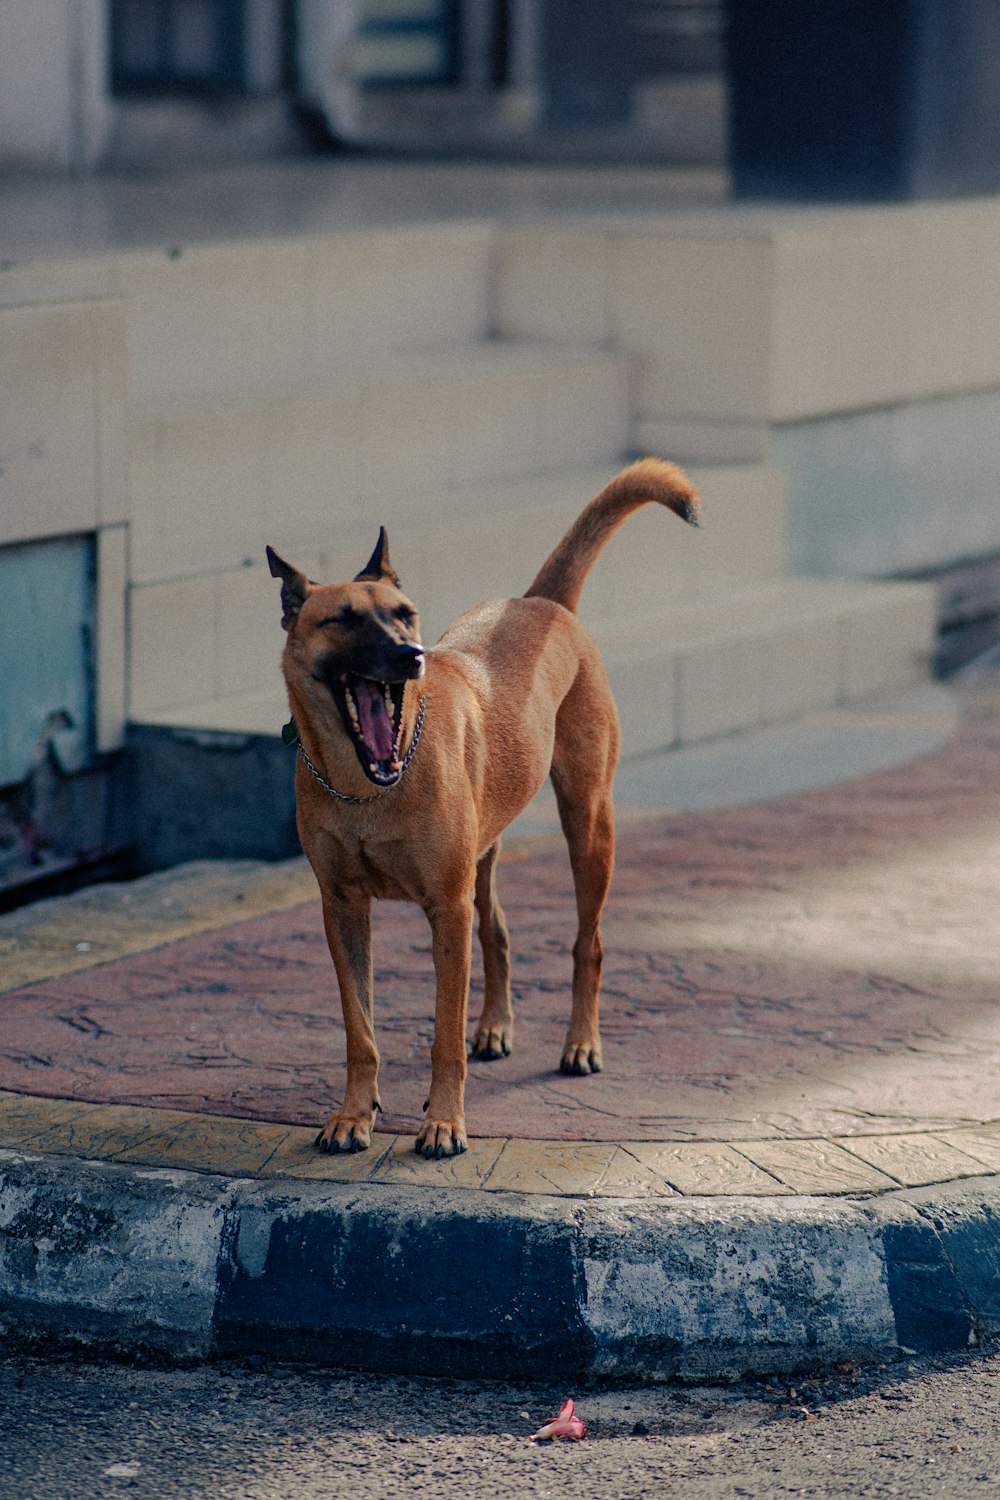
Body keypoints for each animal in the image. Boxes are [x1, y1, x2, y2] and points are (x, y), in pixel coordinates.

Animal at [269, 456, 701, 1158]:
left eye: (405, 614)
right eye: (342, 619)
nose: (410, 656)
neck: (370, 785)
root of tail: (542, 602)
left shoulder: (445, 908)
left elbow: (443, 1035)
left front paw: (444, 1124)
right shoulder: (343, 908)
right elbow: (360, 1030)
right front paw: (354, 1115)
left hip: (587, 824)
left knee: (589, 942)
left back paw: (581, 1043)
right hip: (486, 848)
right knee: (497, 930)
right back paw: (496, 1027)